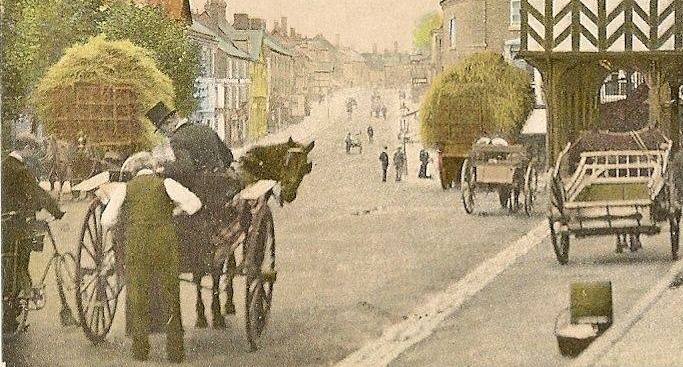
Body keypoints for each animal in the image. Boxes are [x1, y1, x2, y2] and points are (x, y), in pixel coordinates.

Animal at [187, 137, 316, 330]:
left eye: (304, 168)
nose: (289, 194)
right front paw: (230, 303)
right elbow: (239, 262)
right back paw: (217, 315)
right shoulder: (249, 226)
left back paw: (201, 316)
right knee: (213, 271)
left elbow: (229, 264)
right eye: (287, 163)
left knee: (198, 274)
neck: (254, 168)